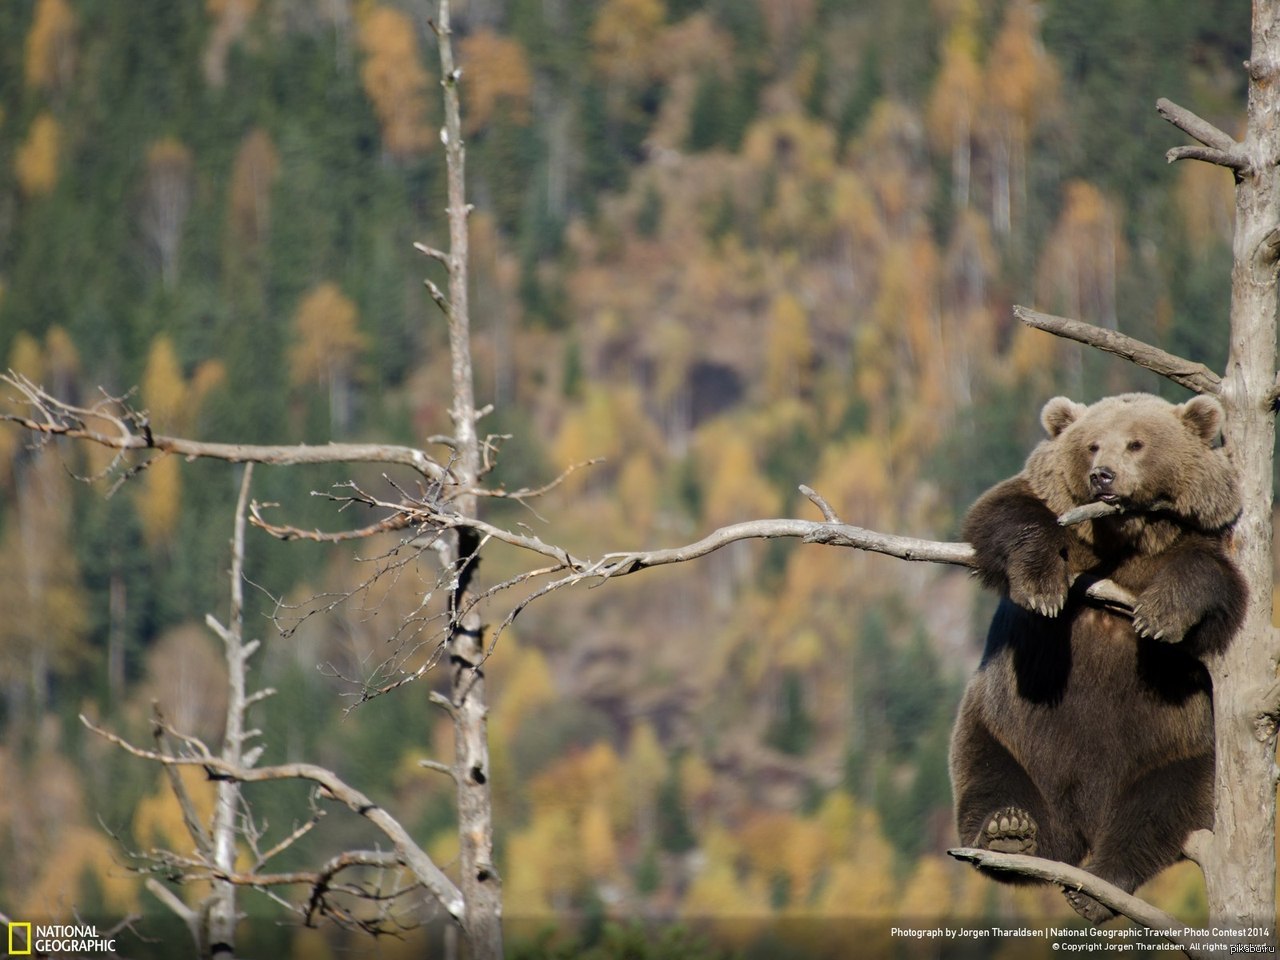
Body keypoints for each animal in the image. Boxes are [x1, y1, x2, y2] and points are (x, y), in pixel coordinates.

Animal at [957, 391, 1244, 926]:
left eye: (1136, 443)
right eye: (1091, 444)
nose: (1103, 475)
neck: (1126, 534)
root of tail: (1082, 822)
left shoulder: (1205, 540)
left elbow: (1210, 579)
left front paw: (1159, 615)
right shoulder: (1051, 509)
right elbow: (1003, 514)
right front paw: (1042, 585)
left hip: (1184, 750)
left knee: (1157, 812)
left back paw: (1098, 886)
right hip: (1002, 732)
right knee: (991, 778)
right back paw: (1009, 832)